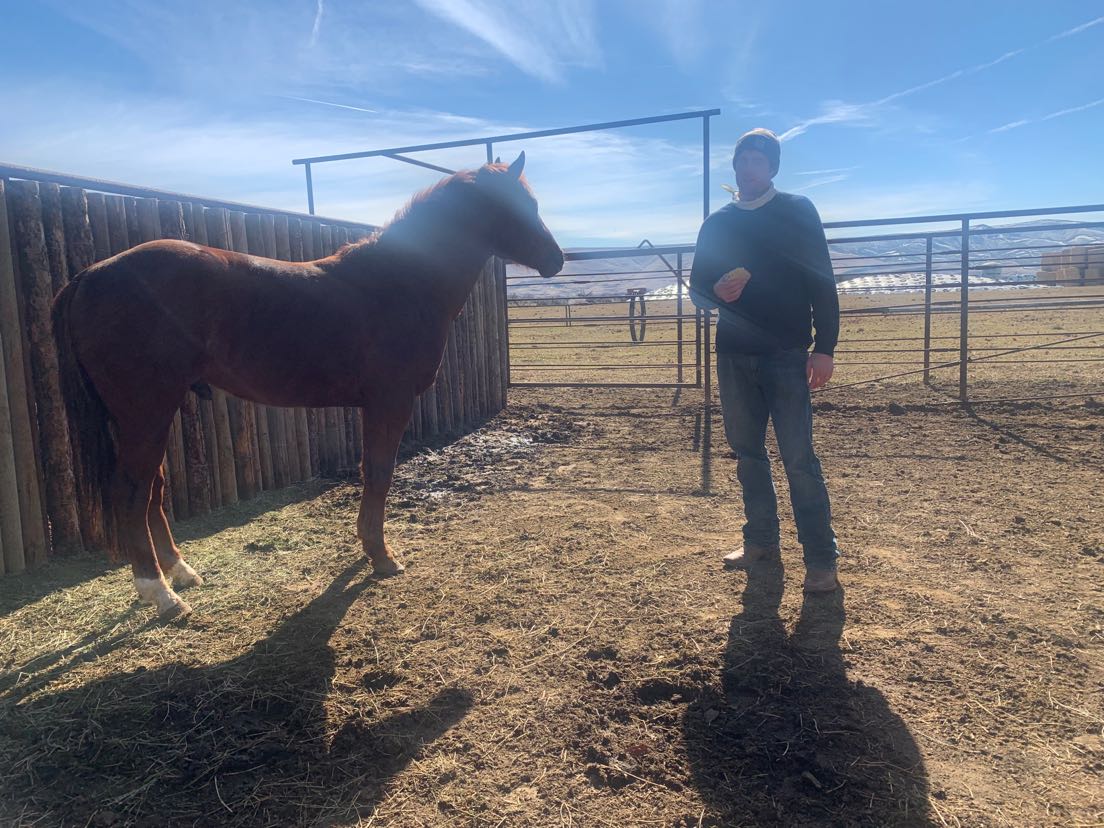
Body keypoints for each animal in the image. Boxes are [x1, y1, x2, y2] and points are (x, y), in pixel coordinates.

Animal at [52, 152, 563, 618]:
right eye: (517, 205)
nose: (556, 259)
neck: (398, 283)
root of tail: (90, 275)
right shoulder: (389, 402)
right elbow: (378, 473)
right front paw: (381, 558)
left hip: (151, 412)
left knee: (153, 490)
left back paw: (181, 572)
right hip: (147, 410)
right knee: (132, 491)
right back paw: (160, 593)